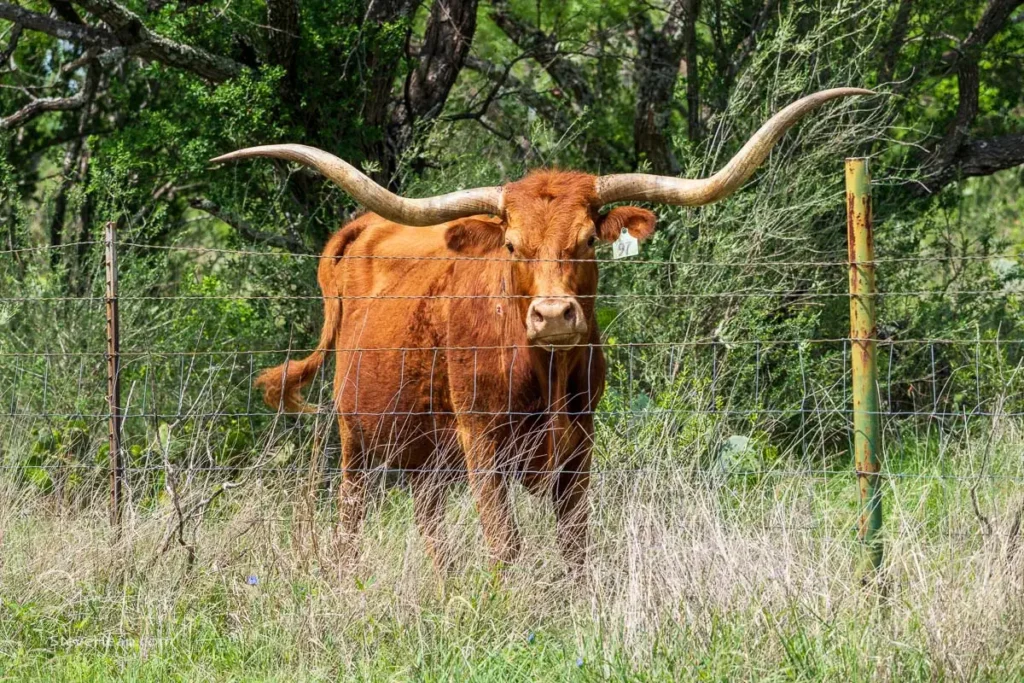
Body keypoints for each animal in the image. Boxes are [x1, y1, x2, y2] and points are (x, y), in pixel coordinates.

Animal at [213, 88, 870, 572]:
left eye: (586, 241)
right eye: (511, 245)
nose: (553, 316)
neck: (543, 375)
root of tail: (363, 226)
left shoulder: (579, 443)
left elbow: (575, 543)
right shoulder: (481, 439)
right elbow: (505, 543)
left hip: (425, 451)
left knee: (431, 525)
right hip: (356, 435)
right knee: (350, 520)